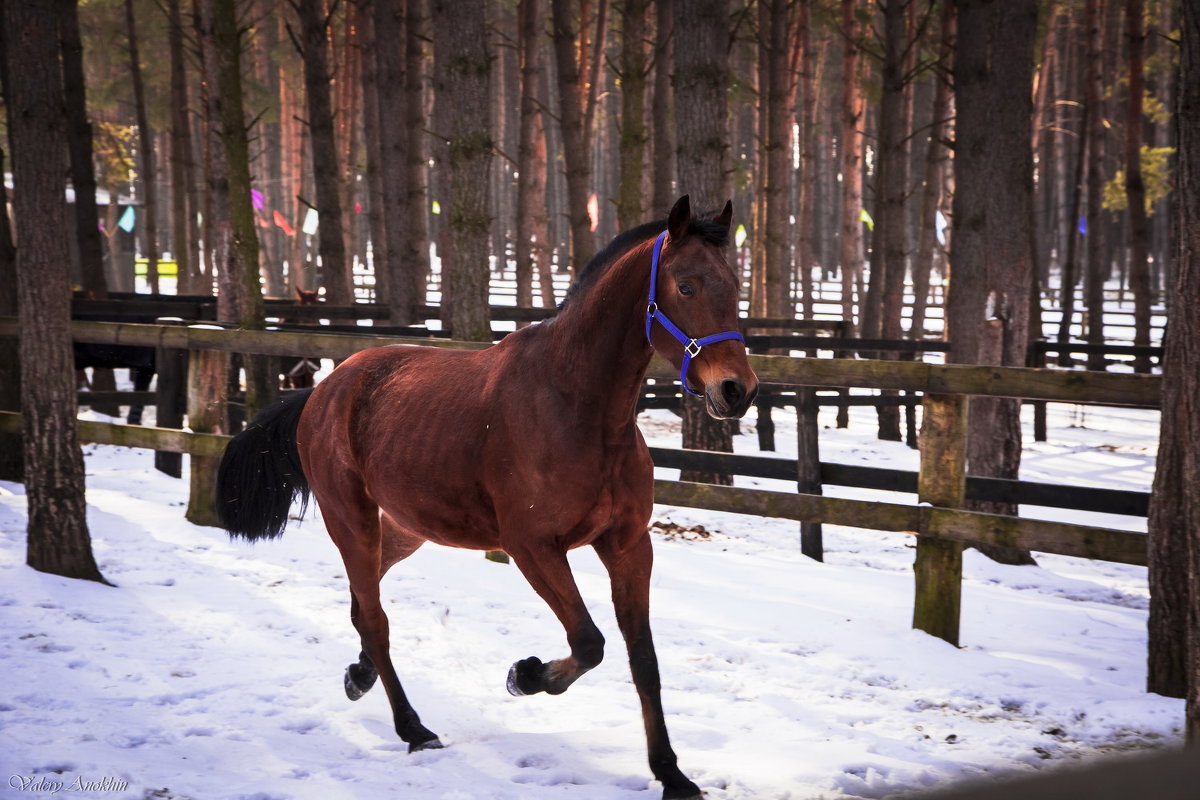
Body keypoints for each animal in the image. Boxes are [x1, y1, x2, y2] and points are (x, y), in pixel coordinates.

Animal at [213, 195, 758, 800]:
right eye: (685, 286)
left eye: (735, 284)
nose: (736, 390)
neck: (578, 409)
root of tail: (323, 390)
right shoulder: (533, 547)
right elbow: (589, 641)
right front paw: (525, 675)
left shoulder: (628, 545)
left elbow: (644, 660)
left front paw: (672, 773)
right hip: (351, 520)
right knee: (375, 620)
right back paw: (414, 729)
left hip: (405, 528)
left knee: (363, 605)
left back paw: (359, 676)